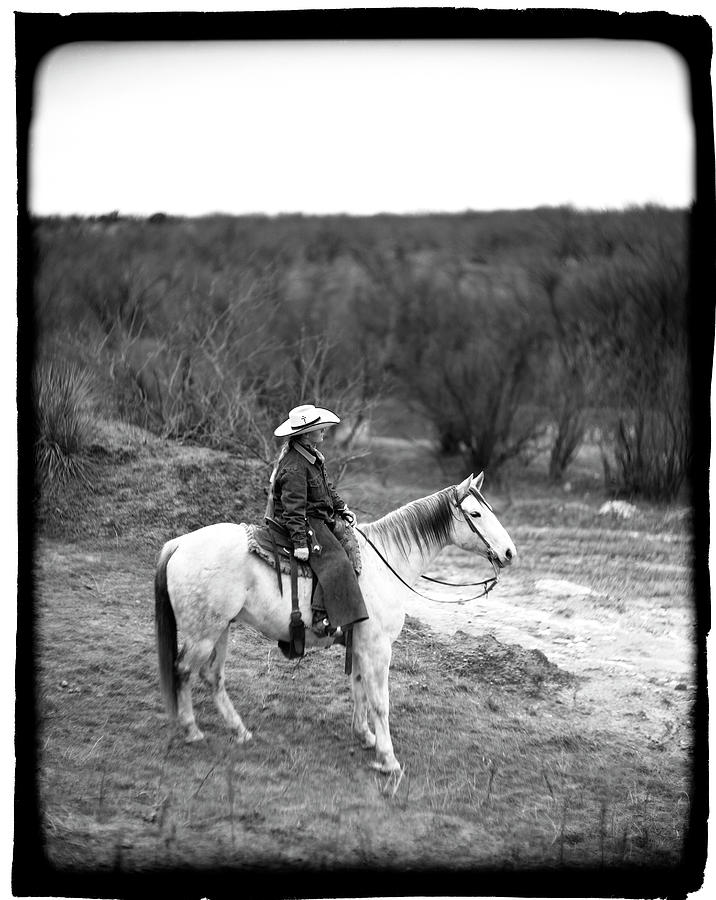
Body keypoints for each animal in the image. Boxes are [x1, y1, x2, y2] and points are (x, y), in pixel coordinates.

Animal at [155, 472, 516, 772]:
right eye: (475, 514)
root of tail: (179, 543)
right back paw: (192, 730)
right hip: (204, 632)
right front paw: (388, 758)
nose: (510, 553)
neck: (385, 563)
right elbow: (380, 701)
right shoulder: (378, 647)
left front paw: (365, 736)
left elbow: (358, 688)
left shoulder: (359, 643)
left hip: (221, 628)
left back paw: (240, 730)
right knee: (183, 671)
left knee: (212, 676)